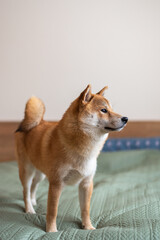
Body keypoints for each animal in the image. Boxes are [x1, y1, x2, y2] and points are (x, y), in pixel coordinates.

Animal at [15, 85, 127, 232]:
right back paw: (29, 209)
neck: (84, 151)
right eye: (104, 110)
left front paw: (88, 226)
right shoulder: (56, 184)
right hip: (27, 171)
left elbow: (85, 209)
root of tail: (37, 121)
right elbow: (52, 211)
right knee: (25, 191)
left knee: (34, 185)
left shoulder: (86, 183)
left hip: (41, 174)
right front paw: (51, 231)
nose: (126, 118)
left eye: (112, 109)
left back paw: (33, 201)